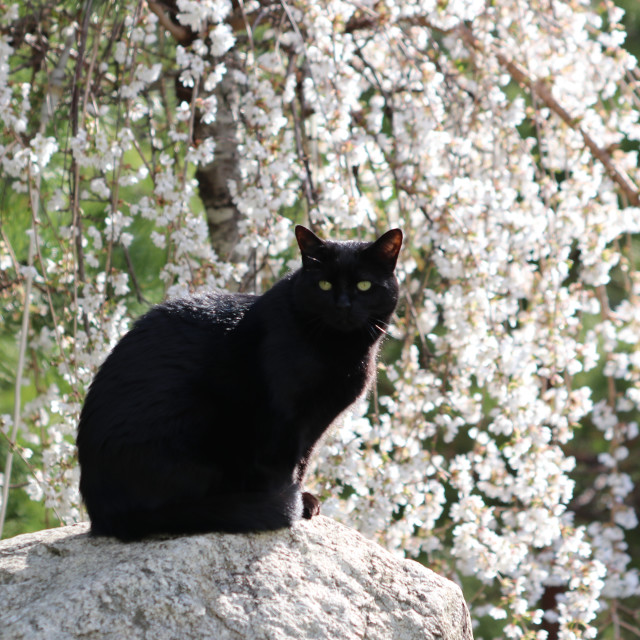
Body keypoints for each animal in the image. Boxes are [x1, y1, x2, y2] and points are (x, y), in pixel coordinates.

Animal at [76, 225, 400, 540]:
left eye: (364, 286)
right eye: (324, 285)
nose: (343, 305)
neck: (341, 351)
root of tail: (101, 515)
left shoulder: (314, 424)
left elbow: (303, 462)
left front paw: (303, 499)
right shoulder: (282, 419)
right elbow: (283, 469)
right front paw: (292, 504)